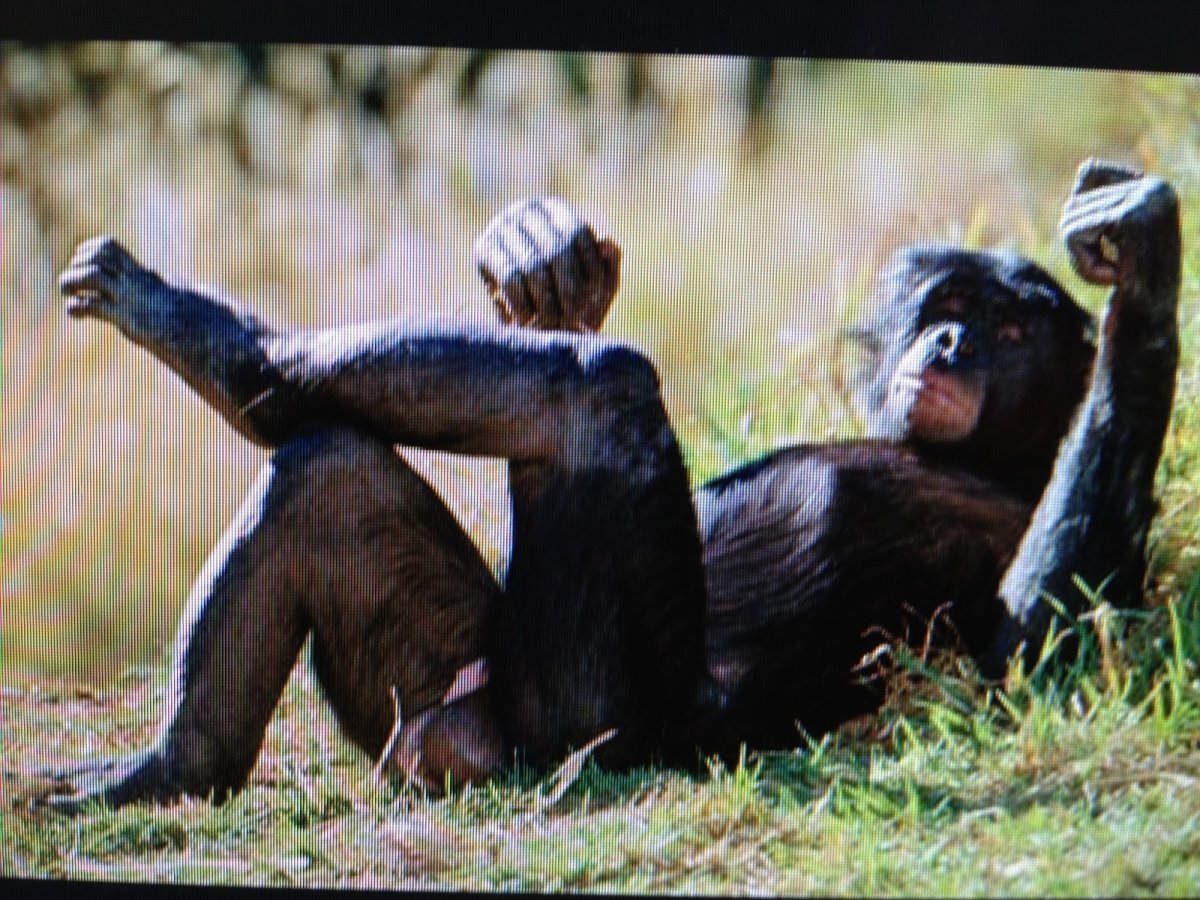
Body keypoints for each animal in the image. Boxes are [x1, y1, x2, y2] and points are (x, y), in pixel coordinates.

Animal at [47, 159, 1179, 808]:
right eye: (950, 308)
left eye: (1014, 331)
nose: (951, 343)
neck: (972, 456)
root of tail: (452, 748)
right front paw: (542, 262)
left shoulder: (1008, 536)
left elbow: (1035, 641)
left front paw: (1146, 273)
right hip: (444, 681)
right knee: (331, 473)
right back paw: (174, 770)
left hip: (580, 717)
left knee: (597, 389)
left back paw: (218, 348)